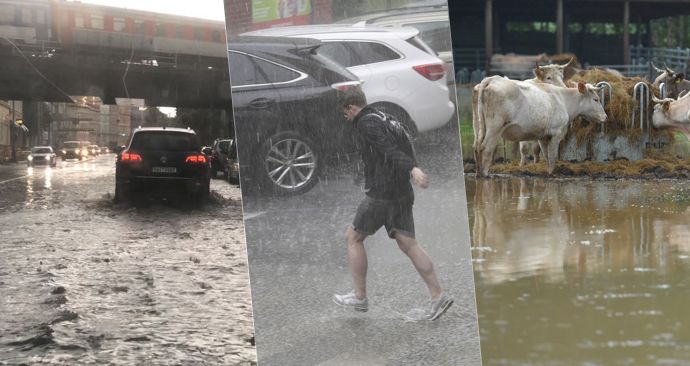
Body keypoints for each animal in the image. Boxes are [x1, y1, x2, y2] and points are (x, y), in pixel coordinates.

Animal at [476, 80, 604, 177]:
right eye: (596, 99)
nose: (605, 116)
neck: (563, 101)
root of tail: (492, 79)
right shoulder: (557, 132)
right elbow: (552, 154)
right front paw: (552, 173)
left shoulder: (543, 136)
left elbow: (546, 154)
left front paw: (548, 172)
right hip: (495, 127)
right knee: (487, 147)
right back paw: (485, 174)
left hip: (481, 127)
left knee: (477, 146)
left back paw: (478, 172)